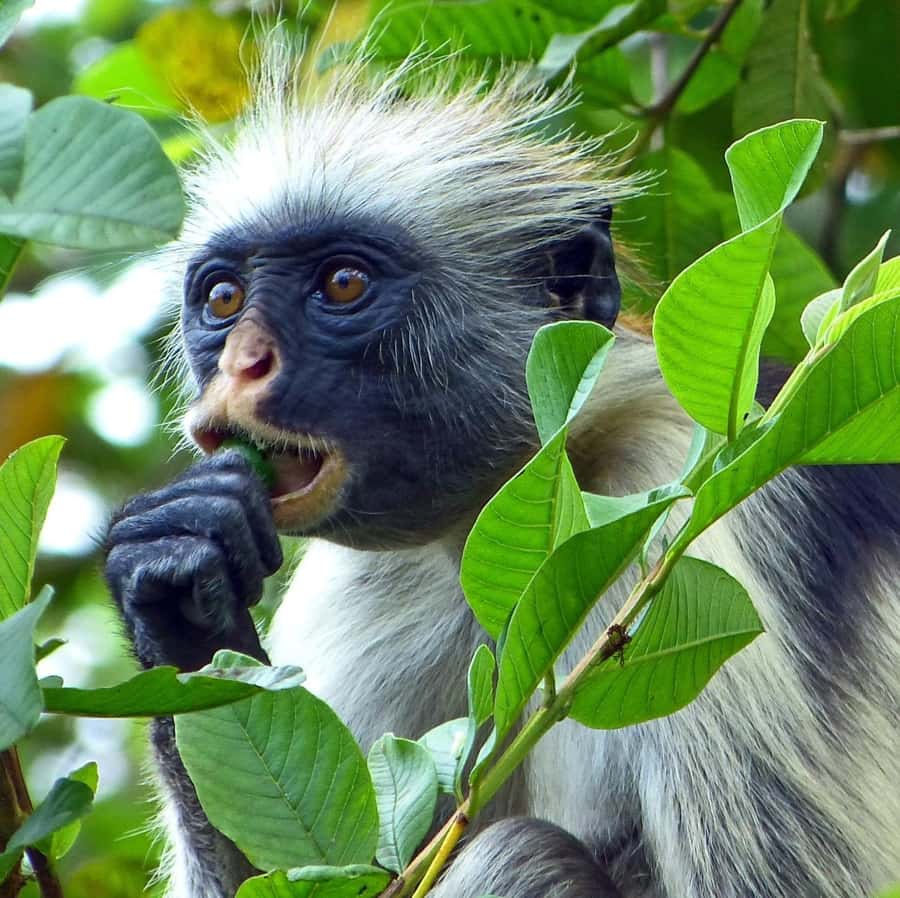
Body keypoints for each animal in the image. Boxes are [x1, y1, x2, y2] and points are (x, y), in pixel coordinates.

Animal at [104, 47, 900, 898]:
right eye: (223, 298)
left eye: (342, 284)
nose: (242, 365)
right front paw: (179, 599)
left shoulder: (697, 508)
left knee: (524, 854)